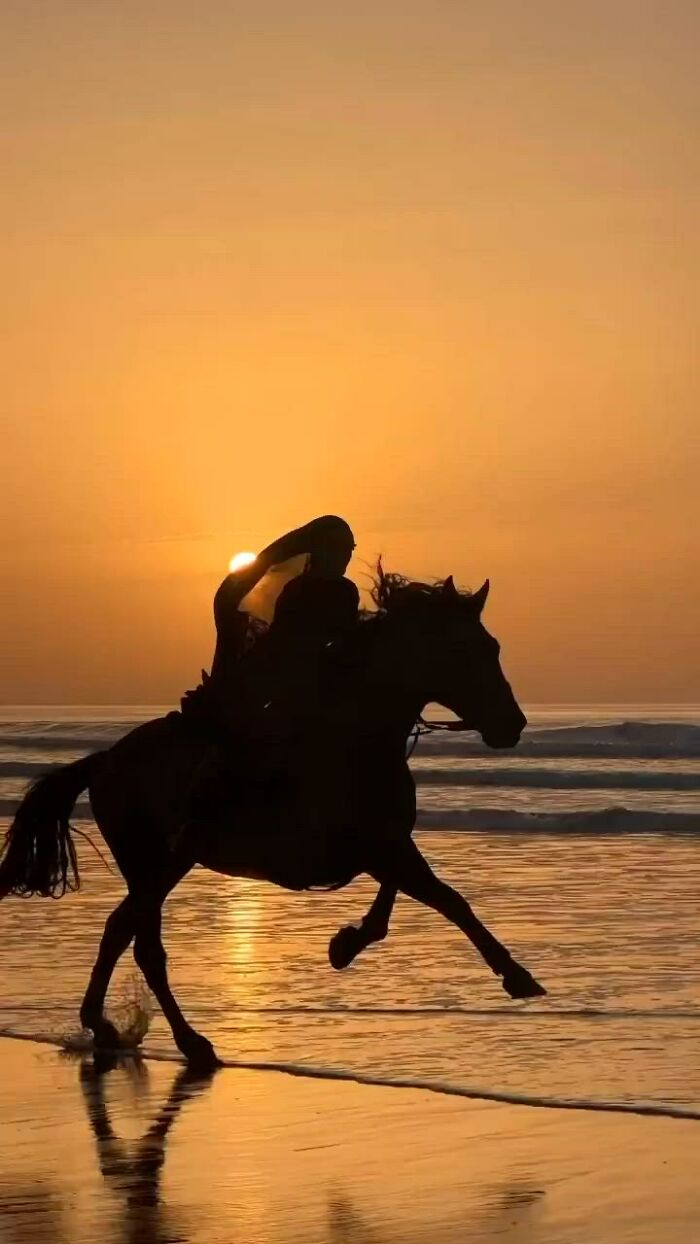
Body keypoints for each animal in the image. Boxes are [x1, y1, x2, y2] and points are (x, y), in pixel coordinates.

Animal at [0, 570, 546, 1071]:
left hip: (160, 863)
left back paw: (134, 1031)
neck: (356, 738)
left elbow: (406, 898)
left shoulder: (384, 842)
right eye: (463, 649)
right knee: (134, 938)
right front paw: (517, 976)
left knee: (129, 935)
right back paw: (168, 1038)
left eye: (492, 645)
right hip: (154, 860)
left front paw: (346, 943)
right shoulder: (363, 848)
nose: (512, 725)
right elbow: (447, 899)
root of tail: (105, 760)